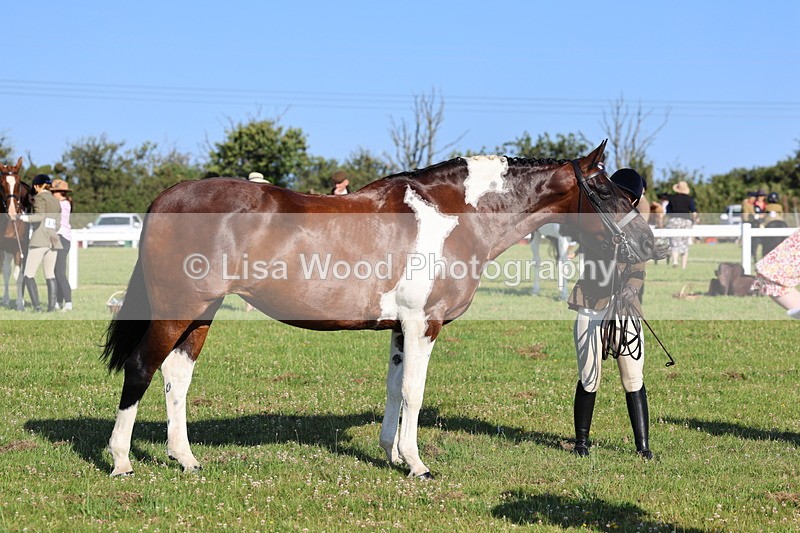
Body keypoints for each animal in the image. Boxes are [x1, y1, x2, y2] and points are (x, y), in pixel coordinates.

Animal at [102, 141, 657, 478]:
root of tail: (164, 199)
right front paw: (416, 464)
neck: (456, 215)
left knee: (176, 376)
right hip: (176, 308)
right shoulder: (423, 324)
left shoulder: (398, 328)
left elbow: (394, 390)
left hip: (202, 311)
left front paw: (391, 453)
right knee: (141, 369)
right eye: (604, 189)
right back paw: (122, 461)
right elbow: (414, 392)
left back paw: (185, 459)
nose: (651, 243)